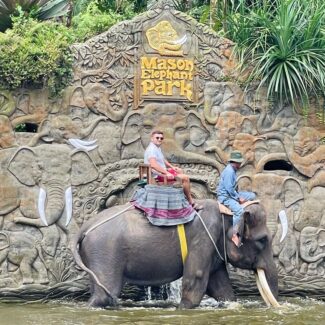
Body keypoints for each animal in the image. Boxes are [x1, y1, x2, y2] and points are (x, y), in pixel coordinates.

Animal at [73, 199, 278, 308]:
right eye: (263, 240)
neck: (225, 211)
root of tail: (84, 228)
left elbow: (221, 289)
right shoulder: (204, 238)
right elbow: (195, 281)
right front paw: (183, 308)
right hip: (105, 252)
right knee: (105, 293)